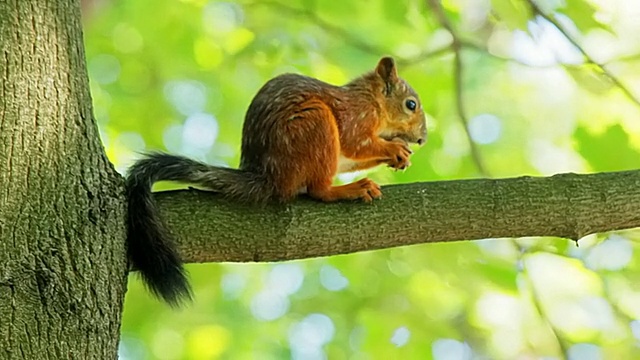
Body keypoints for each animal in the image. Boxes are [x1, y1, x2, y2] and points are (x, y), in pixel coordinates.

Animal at [125, 57, 428, 306]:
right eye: (411, 104)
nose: (422, 139)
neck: (372, 101)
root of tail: (267, 176)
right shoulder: (356, 117)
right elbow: (357, 143)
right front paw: (394, 148)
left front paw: (401, 154)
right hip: (314, 124)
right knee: (318, 190)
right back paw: (347, 189)